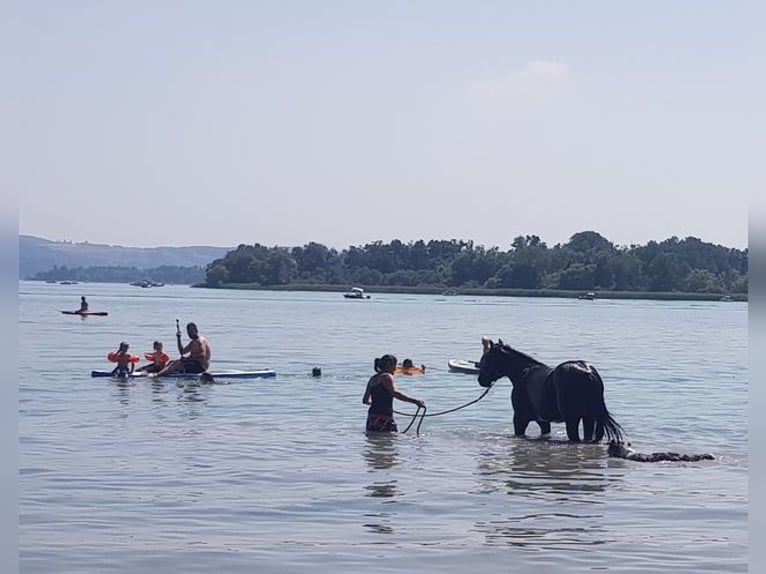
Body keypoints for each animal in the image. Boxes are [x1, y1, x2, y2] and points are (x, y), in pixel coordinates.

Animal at [480, 340, 624, 444]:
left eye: (486, 359)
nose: (481, 380)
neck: (523, 373)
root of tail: (587, 372)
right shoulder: (543, 421)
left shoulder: (520, 419)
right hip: (588, 418)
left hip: (572, 419)